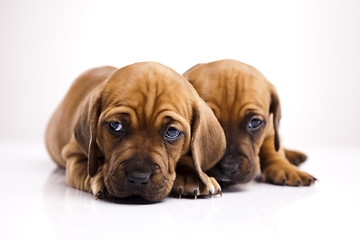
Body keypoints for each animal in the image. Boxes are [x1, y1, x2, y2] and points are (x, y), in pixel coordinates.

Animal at [45, 62, 225, 201]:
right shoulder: (73, 155)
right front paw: (101, 177)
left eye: (172, 132)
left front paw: (194, 176)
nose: (138, 178)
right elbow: (89, 169)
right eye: (115, 125)